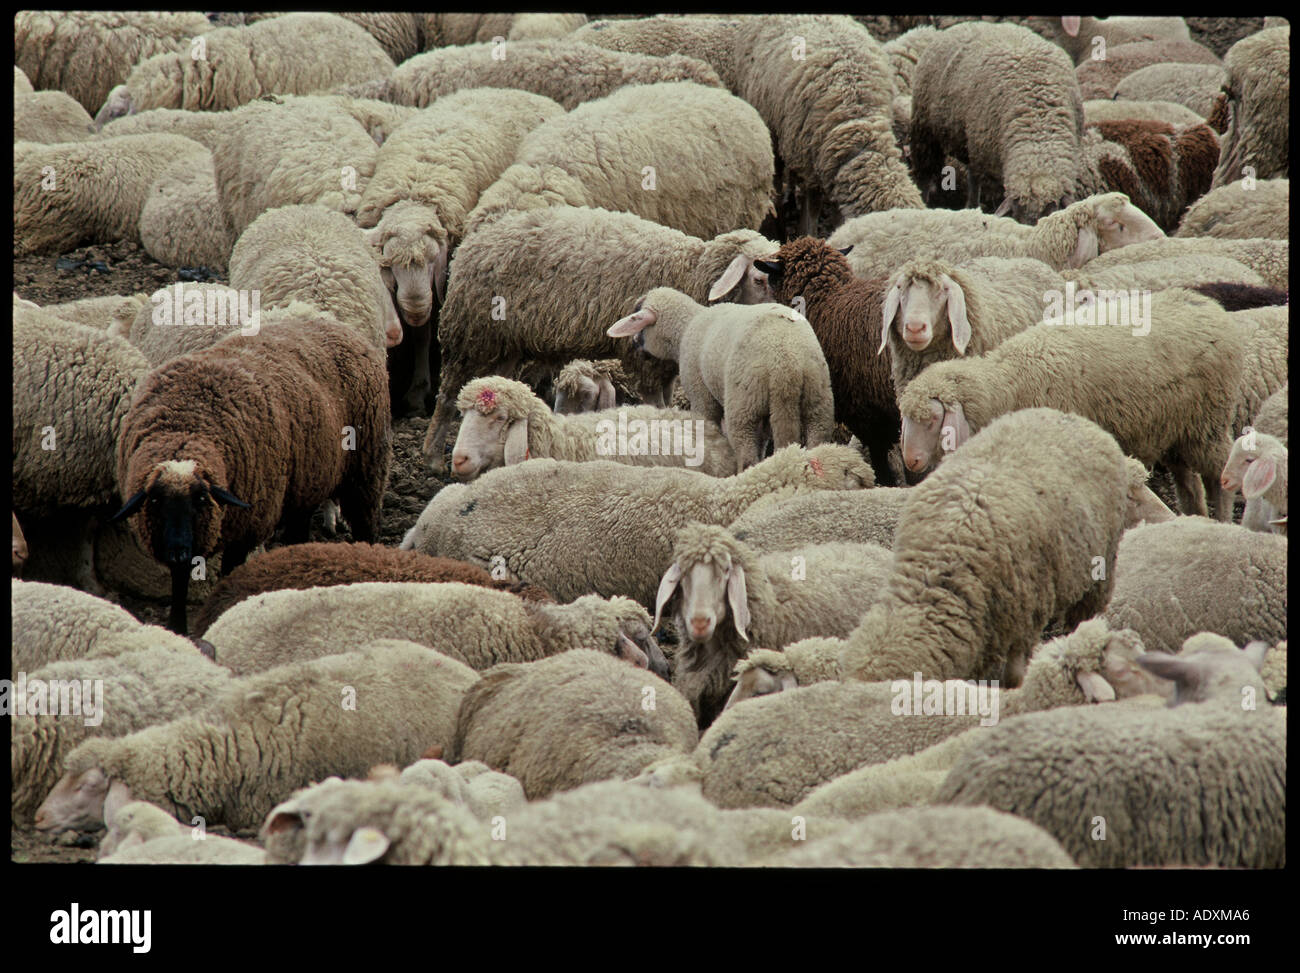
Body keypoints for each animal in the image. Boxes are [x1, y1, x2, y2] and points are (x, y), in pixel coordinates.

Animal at [112, 312, 391, 634]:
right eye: (156, 501)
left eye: (201, 500)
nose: (178, 551)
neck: (186, 427)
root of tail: (339, 326)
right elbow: (179, 583)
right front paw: (177, 627)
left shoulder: (245, 526)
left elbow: (229, 572)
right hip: (307, 480)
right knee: (298, 528)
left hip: (367, 469)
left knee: (366, 524)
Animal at [421, 206, 778, 469]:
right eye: (759, 279)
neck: (689, 271)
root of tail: (472, 243)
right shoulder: (644, 361)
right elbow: (656, 402)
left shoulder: (664, 367)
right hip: (472, 335)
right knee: (447, 395)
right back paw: (433, 457)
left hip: (504, 345)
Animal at [607, 288, 834, 471]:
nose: (634, 345)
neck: (686, 327)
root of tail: (787, 364)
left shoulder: (700, 394)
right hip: (817, 398)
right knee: (816, 439)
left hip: (743, 403)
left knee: (747, 453)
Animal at [897, 289, 1244, 519]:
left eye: (932, 420)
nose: (910, 461)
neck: (1007, 383)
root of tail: (1208, 305)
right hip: (1176, 427)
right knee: (1189, 483)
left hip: (1209, 421)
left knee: (1219, 477)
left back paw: (1223, 520)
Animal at [911, 22, 1084, 222]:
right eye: (1016, 216)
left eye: (1050, 213)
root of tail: (966, 24)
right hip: (925, 132)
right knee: (925, 175)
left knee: (972, 177)